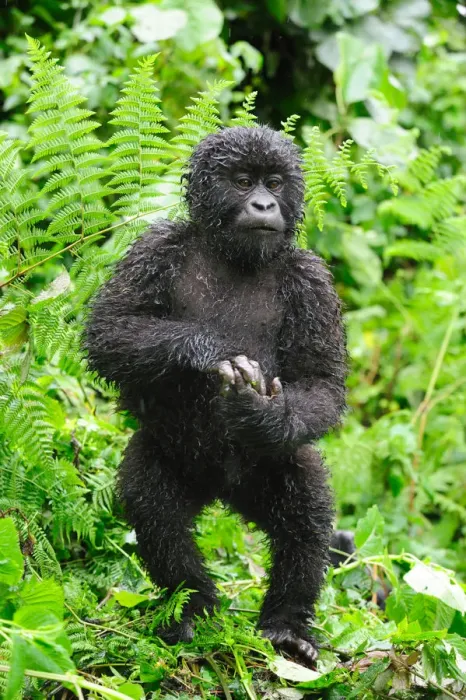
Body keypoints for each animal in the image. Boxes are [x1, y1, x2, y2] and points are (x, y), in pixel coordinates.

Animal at [84, 125, 347, 667]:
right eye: (243, 181)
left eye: (274, 181)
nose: (265, 204)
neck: (232, 254)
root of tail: (224, 493)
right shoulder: (155, 247)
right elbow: (110, 329)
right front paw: (207, 349)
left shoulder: (311, 279)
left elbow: (323, 382)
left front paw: (264, 413)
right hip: (173, 462)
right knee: (156, 511)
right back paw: (192, 607)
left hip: (266, 472)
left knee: (306, 512)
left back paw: (287, 624)